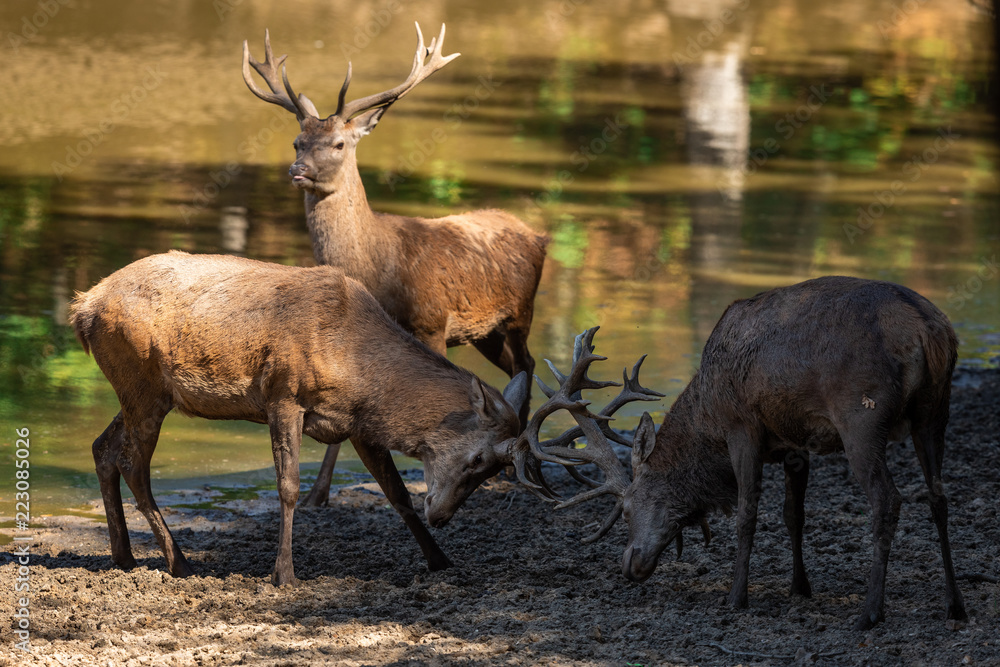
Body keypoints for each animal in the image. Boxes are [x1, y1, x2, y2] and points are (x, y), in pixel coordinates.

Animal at [71, 253, 560, 588]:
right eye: (478, 460)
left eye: (494, 470)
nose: (441, 516)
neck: (358, 371)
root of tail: (83, 308)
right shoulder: (284, 396)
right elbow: (288, 487)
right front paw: (284, 574)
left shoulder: (357, 426)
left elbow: (397, 493)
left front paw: (439, 559)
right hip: (141, 383)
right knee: (133, 463)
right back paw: (179, 562)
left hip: (144, 393)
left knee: (103, 447)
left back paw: (124, 557)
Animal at [245, 24, 552, 506]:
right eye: (297, 141)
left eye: (338, 143)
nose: (298, 169)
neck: (378, 267)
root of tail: (537, 234)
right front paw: (319, 493)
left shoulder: (431, 320)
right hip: (485, 333)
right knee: (521, 367)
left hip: (520, 312)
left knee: (528, 364)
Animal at [524, 280, 968, 632]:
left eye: (629, 508)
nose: (629, 565)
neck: (707, 417)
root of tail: (929, 331)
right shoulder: (795, 443)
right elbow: (793, 515)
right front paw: (799, 588)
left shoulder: (741, 427)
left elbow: (747, 514)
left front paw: (736, 596)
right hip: (936, 411)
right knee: (939, 496)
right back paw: (955, 603)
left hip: (861, 414)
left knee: (887, 499)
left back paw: (870, 612)